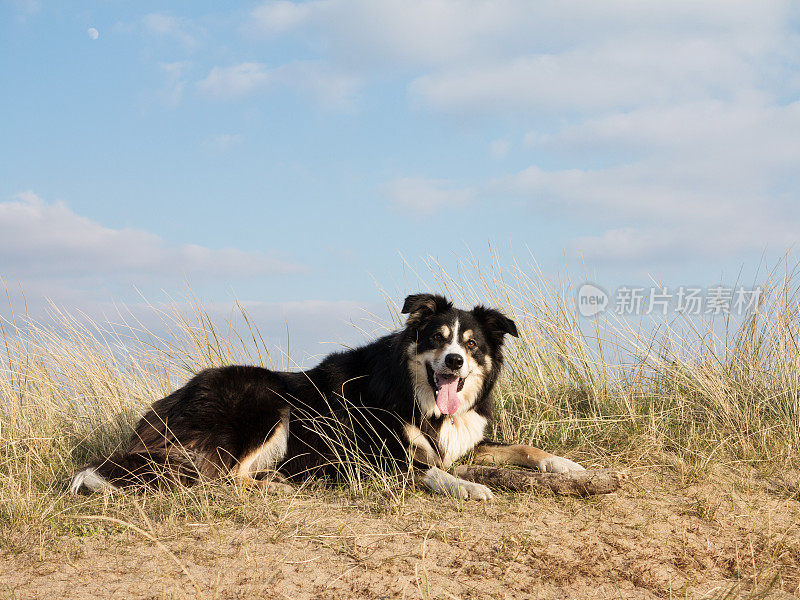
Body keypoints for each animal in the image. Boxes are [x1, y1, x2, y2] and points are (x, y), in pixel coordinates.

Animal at [72, 292, 584, 500]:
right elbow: (432, 473)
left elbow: (521, 447)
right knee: (214, 477)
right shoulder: (374, 457)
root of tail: (160, 407)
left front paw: (566, 465)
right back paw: (274, 486)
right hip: (264, 400)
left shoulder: (463, 440)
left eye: (472, 343)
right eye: (437, 339)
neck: (414, 393)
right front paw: (470, 487)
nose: (454, 362)